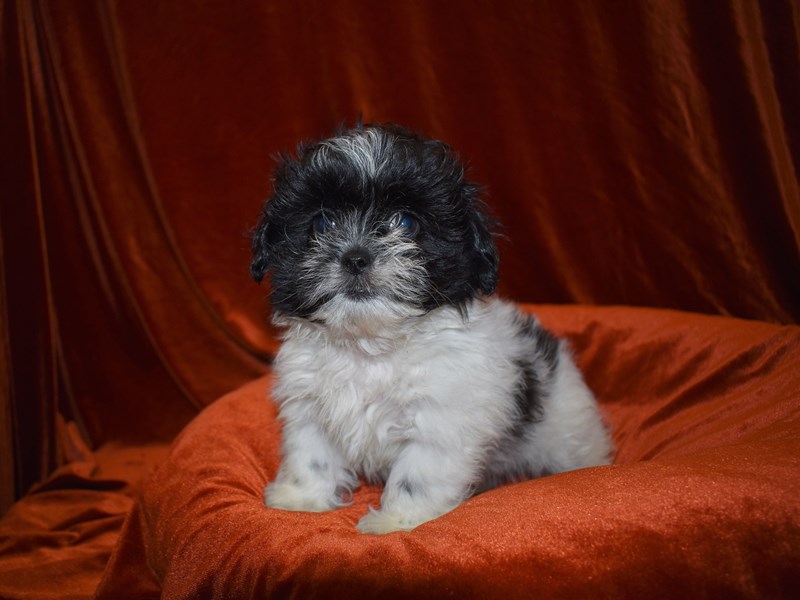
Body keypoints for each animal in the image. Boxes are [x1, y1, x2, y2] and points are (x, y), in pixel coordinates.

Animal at [250, 123, 612, 536]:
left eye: (406, 223)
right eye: (323, 223)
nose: (356, 256)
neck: (370, 347)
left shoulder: (441, 417)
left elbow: (417, 473)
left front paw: (397, 521)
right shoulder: (308, 404)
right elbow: (311, 454)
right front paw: (301, 499)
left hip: (568, 430)